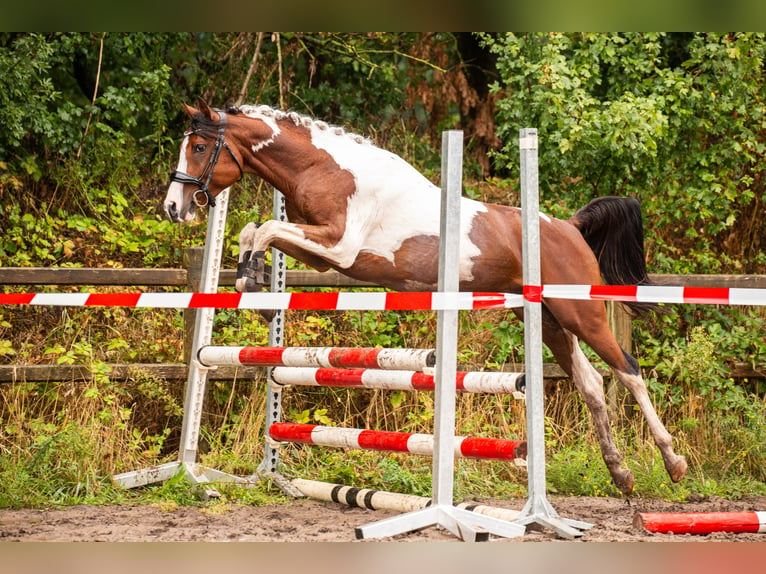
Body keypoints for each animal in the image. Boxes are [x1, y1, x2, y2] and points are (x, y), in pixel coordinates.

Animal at [164, 100, 688, 500]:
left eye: (199, 147)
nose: (173, 207)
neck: (325, 168)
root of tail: (571, 228)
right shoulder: (321, 253)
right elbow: (256, 229)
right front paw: (252, 282)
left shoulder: (339, 246)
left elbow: (266, 228)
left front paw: (252, 284)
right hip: (551, 320)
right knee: (592, 384)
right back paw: (620, 473)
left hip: (581, 312)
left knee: (628, 371)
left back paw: (673, 462)